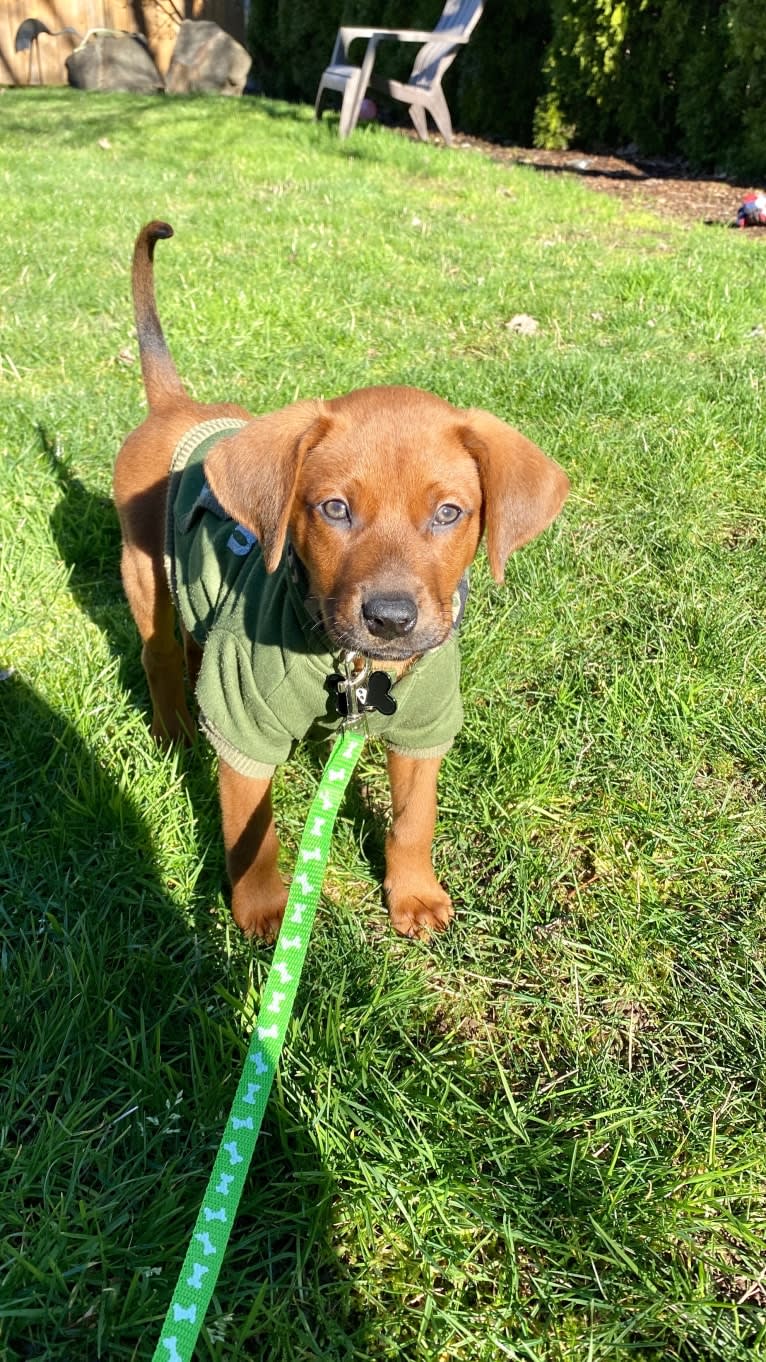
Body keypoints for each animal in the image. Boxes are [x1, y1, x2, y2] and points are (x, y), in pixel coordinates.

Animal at [113, 226, 567, 947]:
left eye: (449, 514)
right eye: (334, 509)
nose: (390, 618)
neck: (357, 664)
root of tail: (178, 406)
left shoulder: (425, 726)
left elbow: (414, 821)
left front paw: (414, 894)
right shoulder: (245, 726)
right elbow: (252, 835)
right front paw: (265, 912)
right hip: (143, 576)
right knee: (157, 655)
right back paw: (174, 728)